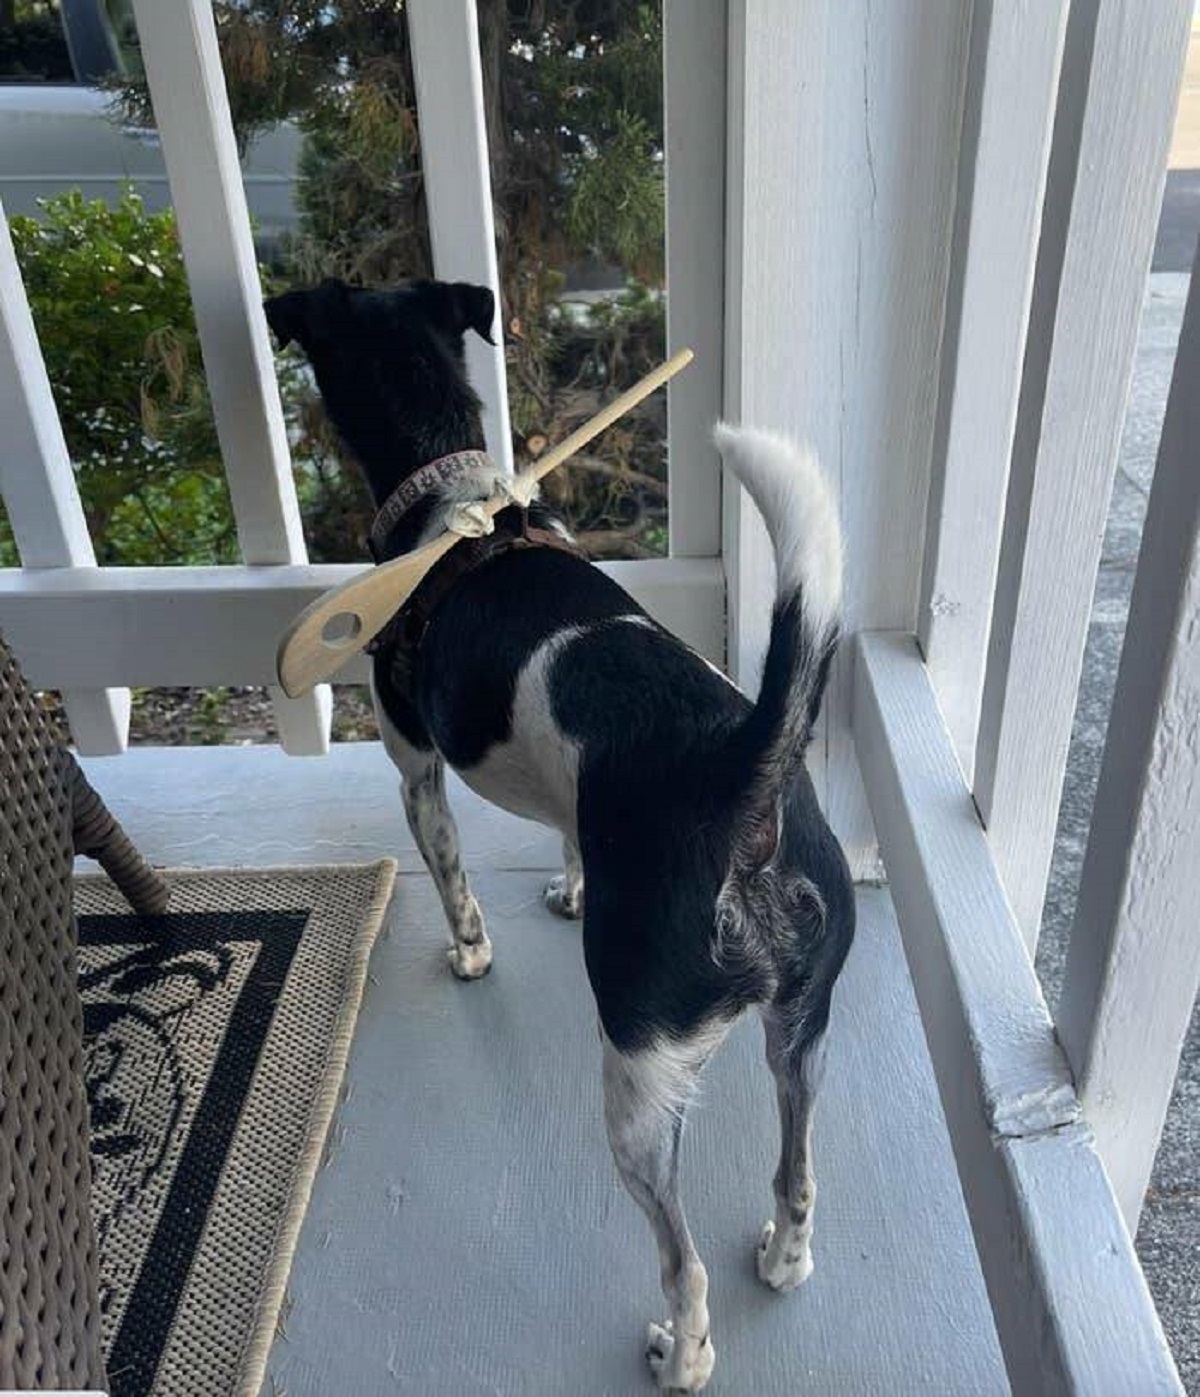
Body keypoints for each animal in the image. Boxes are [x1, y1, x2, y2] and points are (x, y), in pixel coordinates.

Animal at [266, 278, 860, 1391]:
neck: (454, 499)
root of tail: (739, 785)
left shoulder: (415, 767)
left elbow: (452, 881)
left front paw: (469, 954)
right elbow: (569, 835)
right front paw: (572, 887)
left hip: (637, 1089)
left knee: (683, 1264)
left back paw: (680, 1354)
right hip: (800, 1033)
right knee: (797, 1171)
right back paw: (783, 1255)